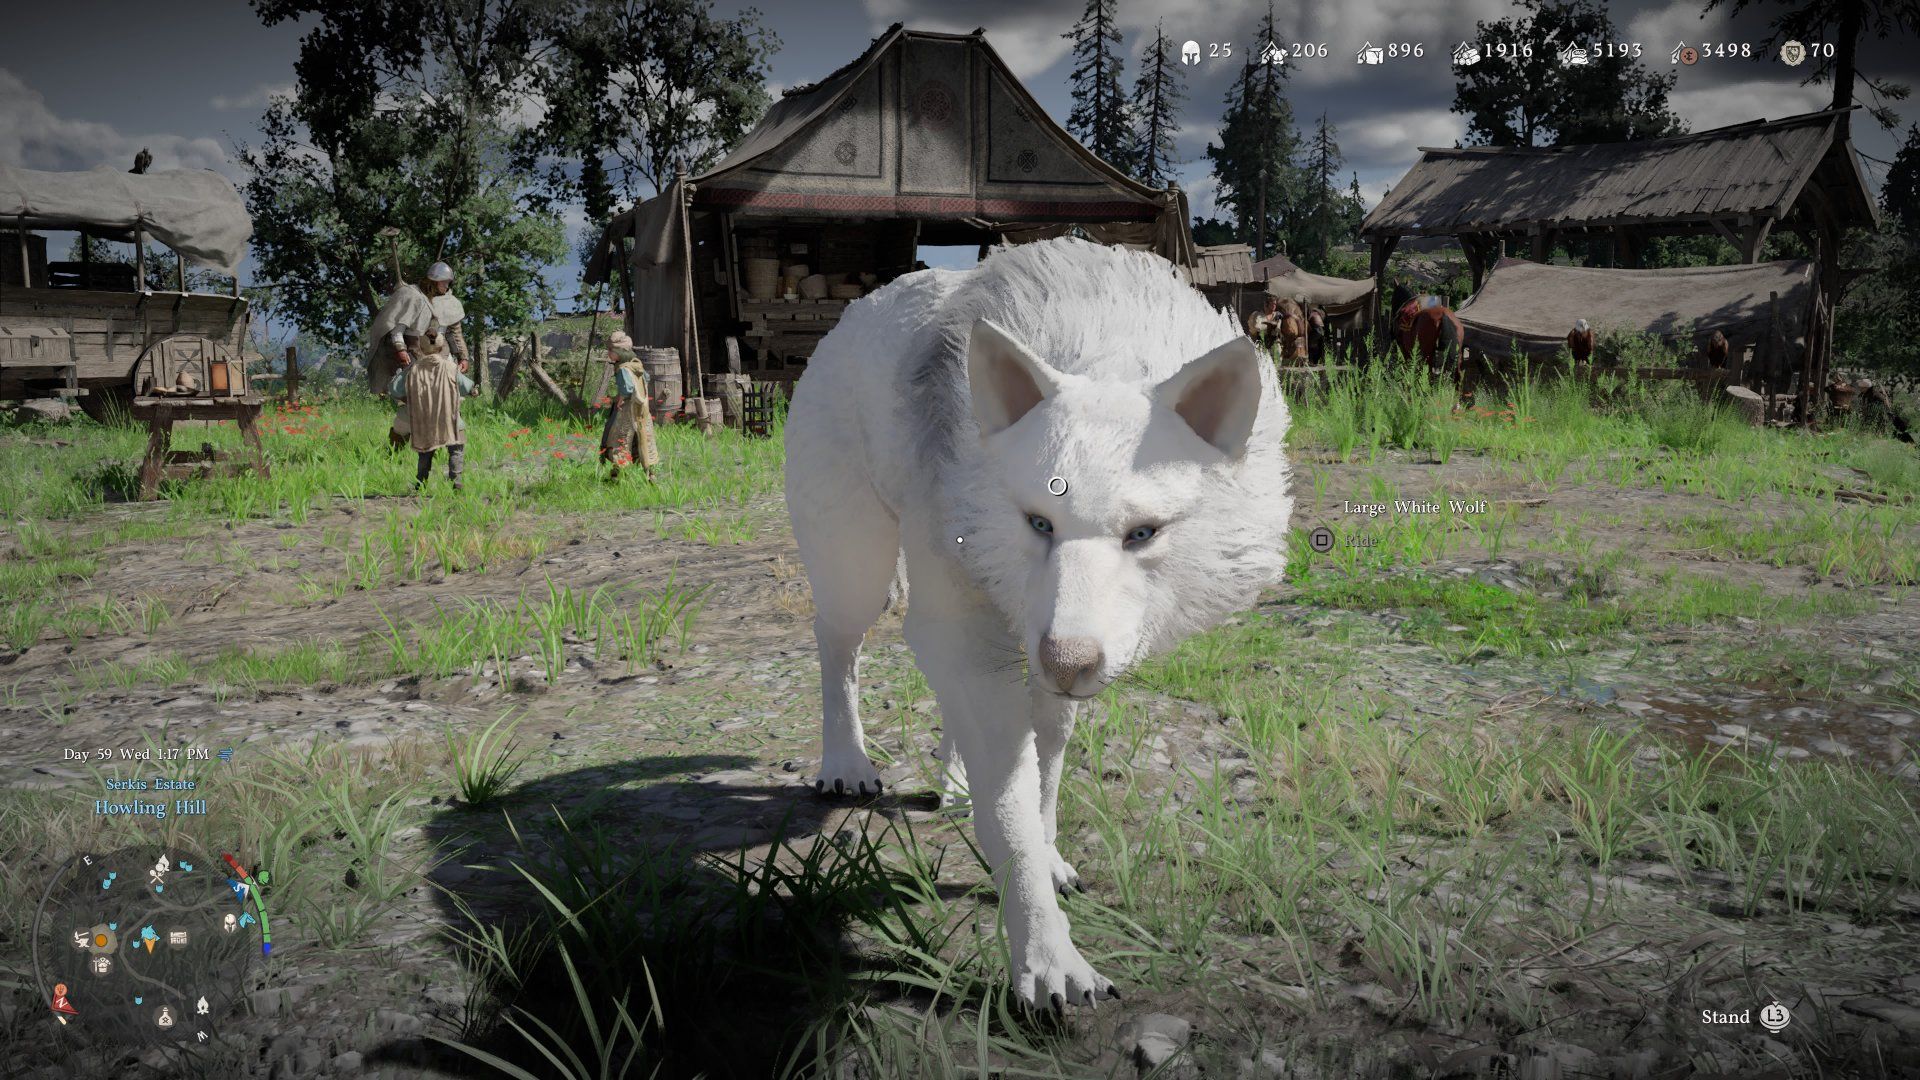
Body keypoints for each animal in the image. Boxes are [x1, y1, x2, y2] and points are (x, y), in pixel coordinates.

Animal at [785, 238, 1293, 1009]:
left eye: (1142, 533)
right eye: (1038, 522)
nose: (1064, 662)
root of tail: (853, 311)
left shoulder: (1043, 651)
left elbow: (1044, 773)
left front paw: (1049, 860)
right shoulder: (969, 627)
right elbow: (1011, 812)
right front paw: (1048, 960)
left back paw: (953, 780)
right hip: (857, 570)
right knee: (836, 645)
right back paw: (846, 765)